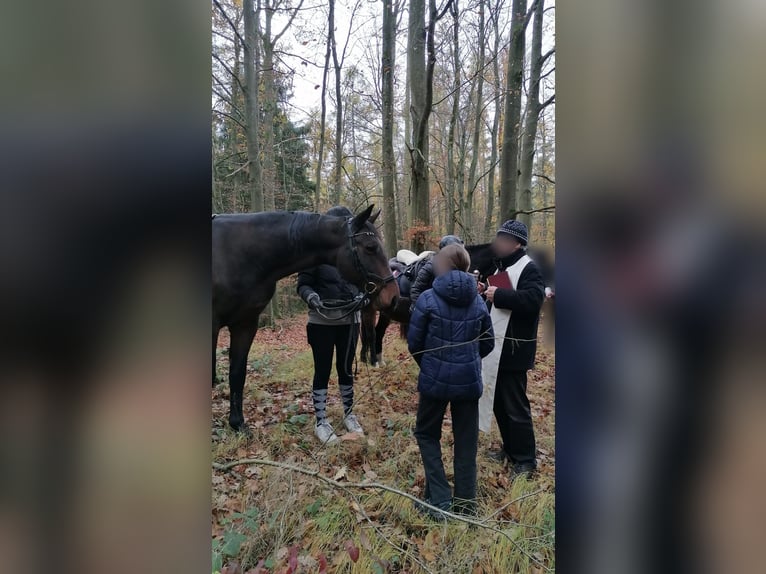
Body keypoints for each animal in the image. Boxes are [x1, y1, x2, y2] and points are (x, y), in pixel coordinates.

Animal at [213, 207, 400, 432]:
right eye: (371, 247)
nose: (393, 297)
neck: (240, 256)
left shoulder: (246, 324)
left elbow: (237, 373)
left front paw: (238, 424)